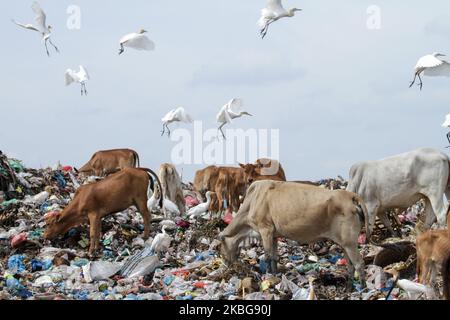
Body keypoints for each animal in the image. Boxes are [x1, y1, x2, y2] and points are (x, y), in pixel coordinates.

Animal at [218, 180, 370, 288]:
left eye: (220, 249)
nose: (226, 266)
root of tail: (350, 195)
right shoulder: (273, 234)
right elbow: (274, 257)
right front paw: (275, 274)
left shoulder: (265, 229)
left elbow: (267, 256)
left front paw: (268, 276)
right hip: (344, 243)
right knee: (350, 266)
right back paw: (349, 288)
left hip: (350, 241)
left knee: (359, 263)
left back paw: (362, 289)